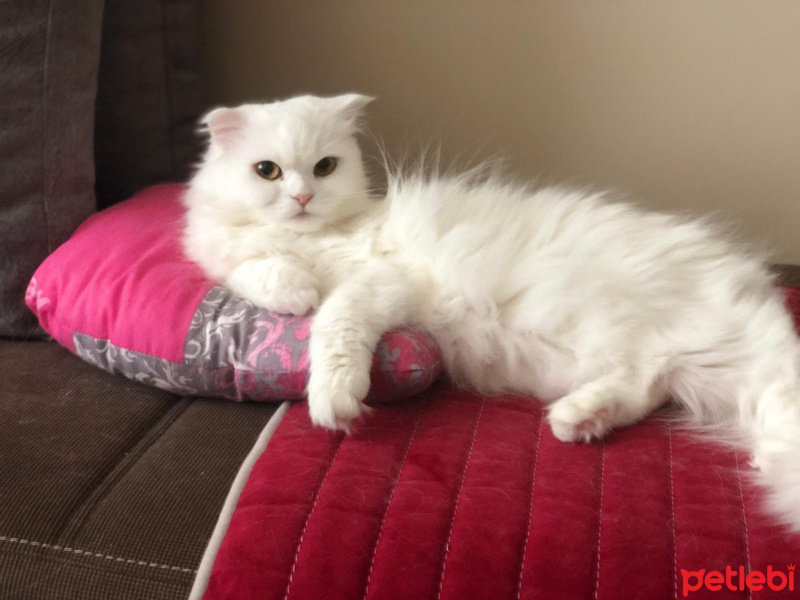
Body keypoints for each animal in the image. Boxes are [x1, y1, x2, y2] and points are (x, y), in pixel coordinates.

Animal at [184, 94, 800, 528]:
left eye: (325, 167)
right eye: (267, 171)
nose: (303, 198)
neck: (312, 239)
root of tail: (754, 288)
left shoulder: (385, 278)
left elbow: (334, 321)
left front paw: (334, 401)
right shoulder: (228, 256)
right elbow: (256, 273)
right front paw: (293, 290)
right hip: (646, 361)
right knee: (644, 384)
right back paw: (579, 420)